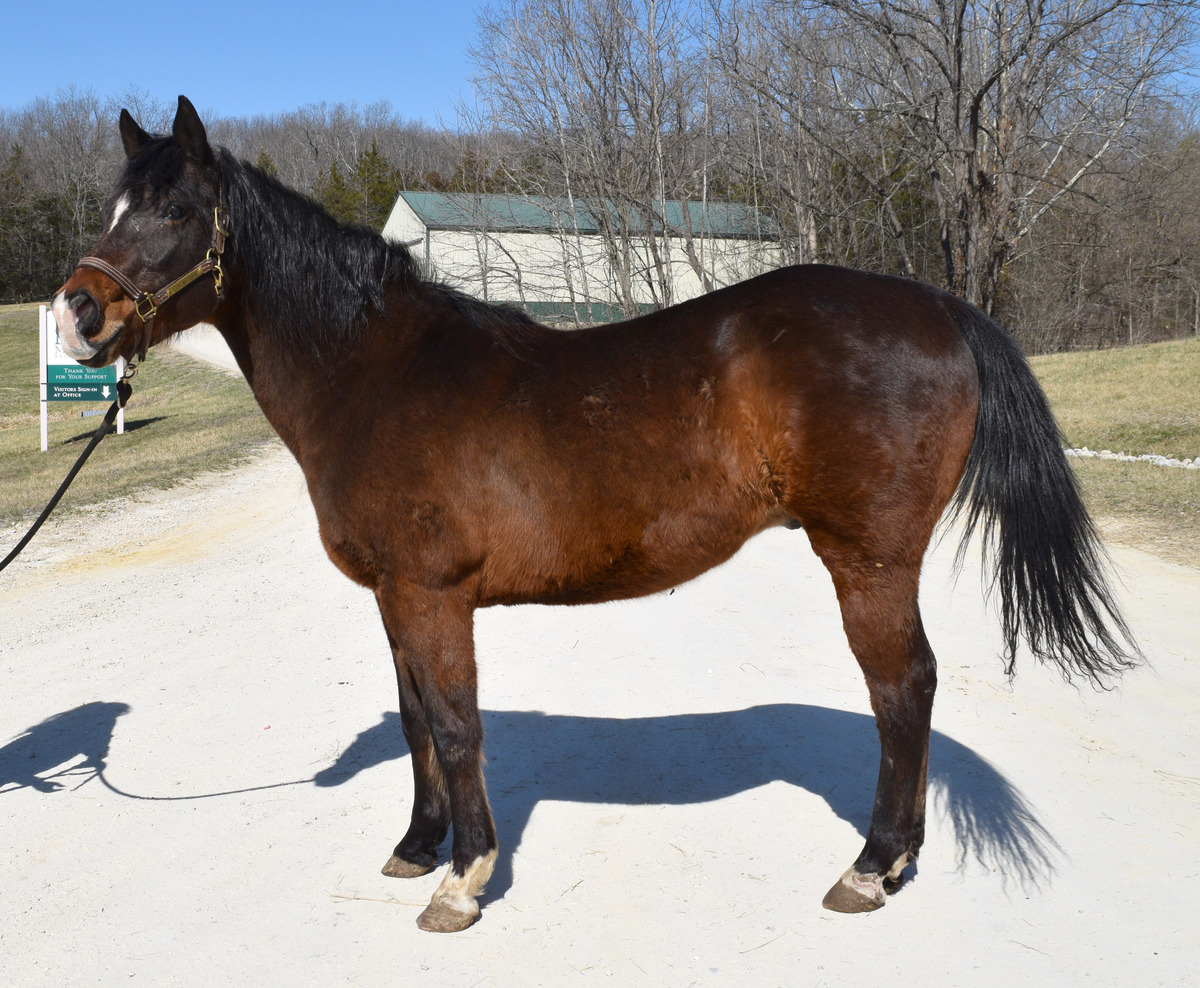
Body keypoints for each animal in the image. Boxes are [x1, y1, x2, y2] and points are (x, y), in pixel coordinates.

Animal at [51, 96, 1139, 933]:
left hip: (867, 558)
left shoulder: (433, 593)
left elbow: (458, 725)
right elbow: (415, 718)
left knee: (902, 689)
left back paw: (872, 867)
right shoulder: (395, 597)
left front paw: (464, 880)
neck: (376, 372)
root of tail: (940, 309)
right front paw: (417, 845)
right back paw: (894, 860)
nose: (78, 313)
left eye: (177, 208)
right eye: (115, 205)